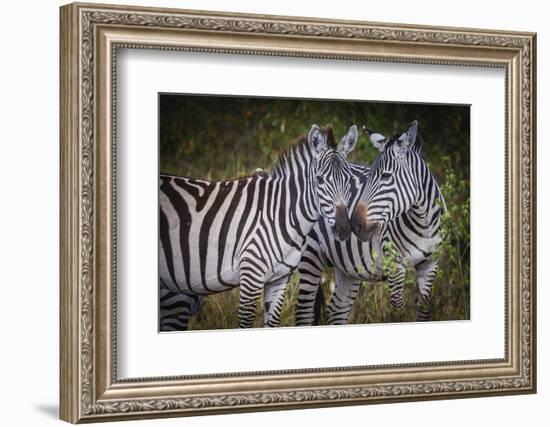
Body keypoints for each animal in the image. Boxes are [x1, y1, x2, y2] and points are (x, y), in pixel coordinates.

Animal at [158, 123, 362, 332]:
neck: (281, 214)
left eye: (349, 180)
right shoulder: (251, 276)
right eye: (319, 180)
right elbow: (246, 323)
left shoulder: (279, 279)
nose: (344, 228)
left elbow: (272, 322)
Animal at [296, 122, 446, 326]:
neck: (423, 224)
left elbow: (423, 312)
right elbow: (398, 311)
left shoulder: (430, 264)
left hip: (347, 267)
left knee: (336, 309)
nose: (354, 224)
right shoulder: (394, 265)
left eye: (386, 176)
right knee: (304, 311)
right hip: (310, 255)